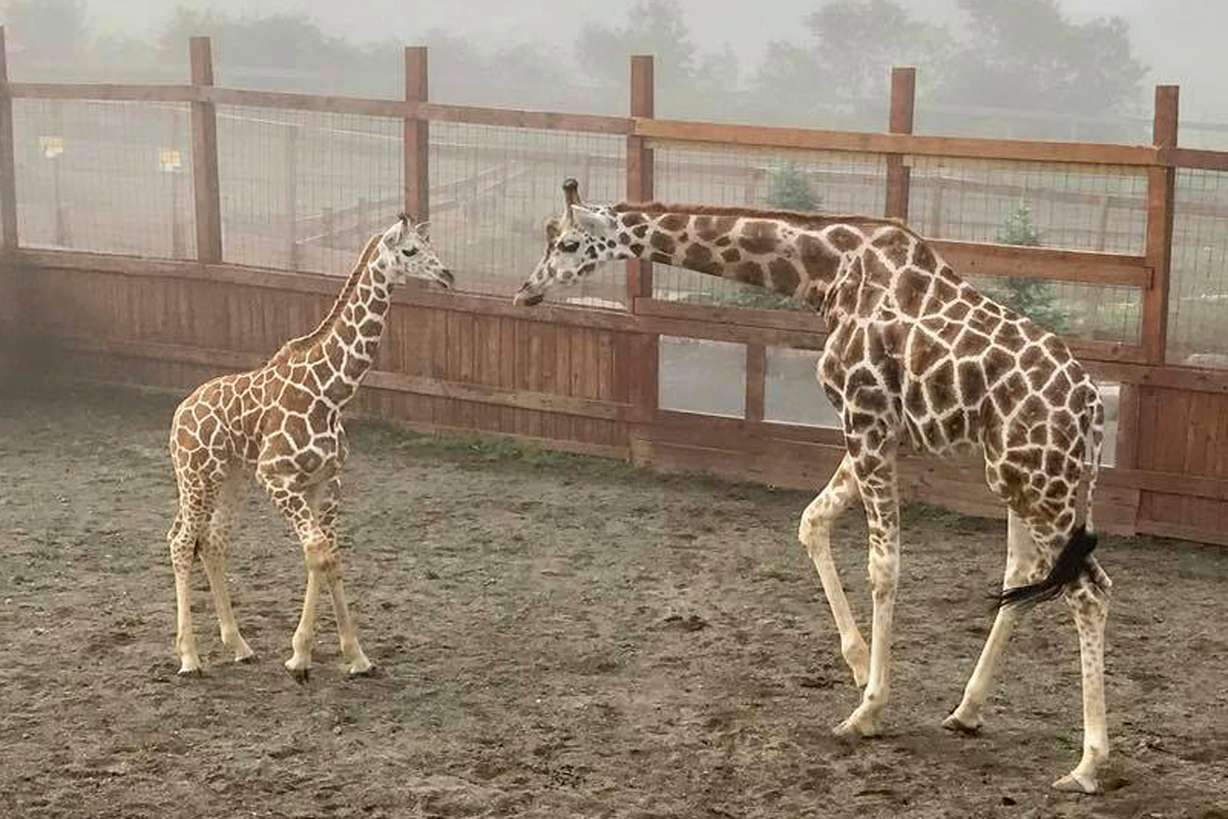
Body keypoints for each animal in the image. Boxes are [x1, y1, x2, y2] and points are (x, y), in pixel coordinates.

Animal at [167, 214, 453, 682]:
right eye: (410, 250)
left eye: (432, 245)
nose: (447, 275)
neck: (331, 395)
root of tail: (179, 414)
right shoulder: (277, 477)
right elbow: (319, 553)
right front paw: (305, 657)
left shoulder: (326, 481)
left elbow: (326, 556)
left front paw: (349, 656)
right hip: (196, 475)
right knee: (180, 541)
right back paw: (190, 657)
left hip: (232, 478)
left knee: (212, 541)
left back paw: (239, 646)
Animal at [513, 180, 1111, 794]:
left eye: (566, 243)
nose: (527, 291)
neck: (827, 275)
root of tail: (1092, 411)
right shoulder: (878, 431)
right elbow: (812, 521)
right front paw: (858, 665)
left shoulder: (867, 419)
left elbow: (883, 566)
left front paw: (867, 711)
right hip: (1020, 479)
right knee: (1024, 575)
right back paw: (967, 711)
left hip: (1043, 483)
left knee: (1090, 591)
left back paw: (1087, 764)